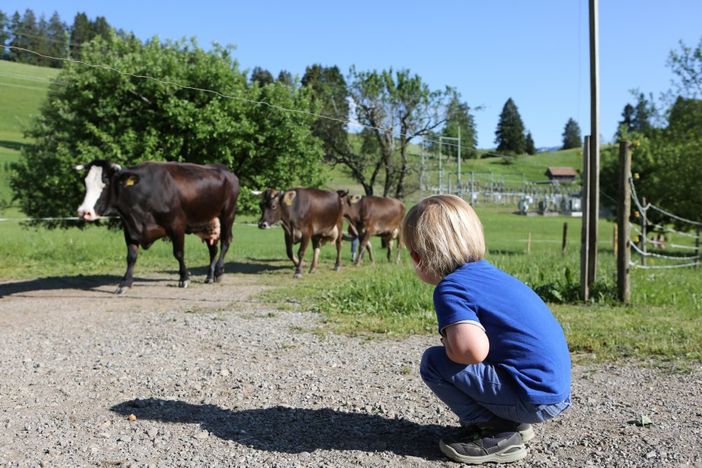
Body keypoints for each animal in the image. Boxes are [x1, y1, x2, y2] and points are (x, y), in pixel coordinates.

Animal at [76, 159, 241, 294]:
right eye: (86, 182)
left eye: (105, 181)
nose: (84, 212)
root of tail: (226, 171)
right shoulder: (129, 229)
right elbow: (131, 257)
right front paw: (125, 283)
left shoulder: (177, 225)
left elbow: (178, 253)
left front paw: (184, 278)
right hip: (208, 221)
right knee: (212, 248)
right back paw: (210, 276)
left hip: (228, 214)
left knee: (225, 242)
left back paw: (218, 272)